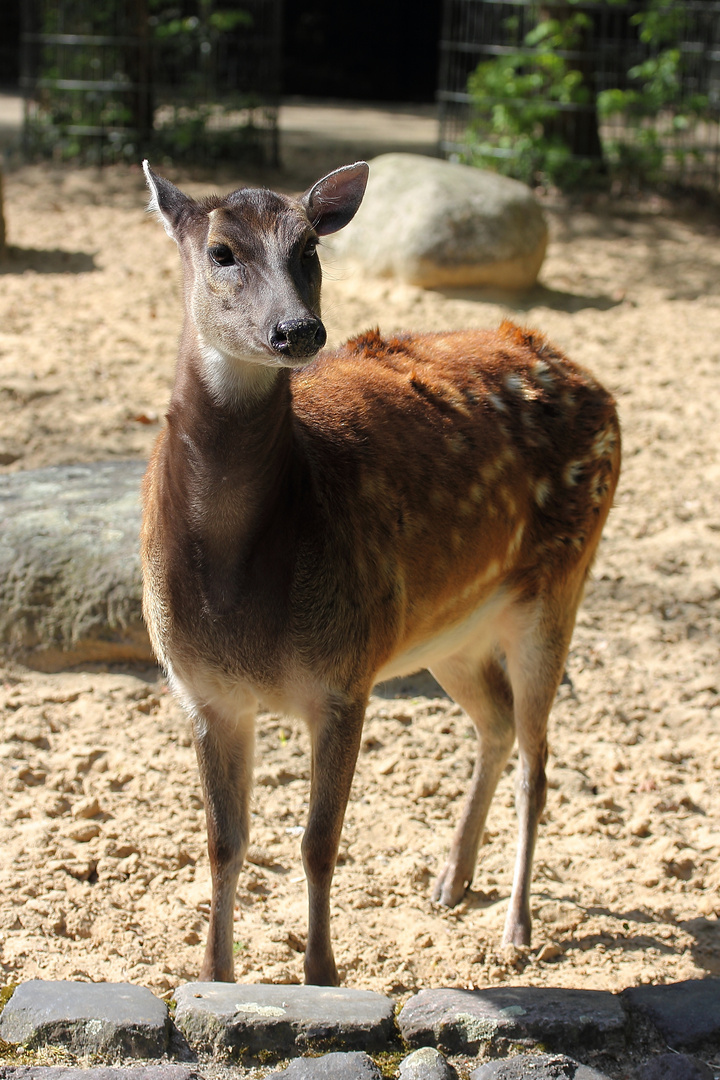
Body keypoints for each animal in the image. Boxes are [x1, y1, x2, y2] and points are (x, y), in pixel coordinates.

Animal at [140, 157, 621, 989]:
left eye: (310, 247)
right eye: (222, 251)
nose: (298, 330)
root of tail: (593, 379)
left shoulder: (343, 673)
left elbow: (317, 841)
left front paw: (322, 977)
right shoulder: (201, 689)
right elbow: (225, 843)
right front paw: (213, 977)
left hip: (562, 578)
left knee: (538, 760)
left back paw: (517, 928)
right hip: (445, 633)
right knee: (496, 722)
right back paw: (451, 880)